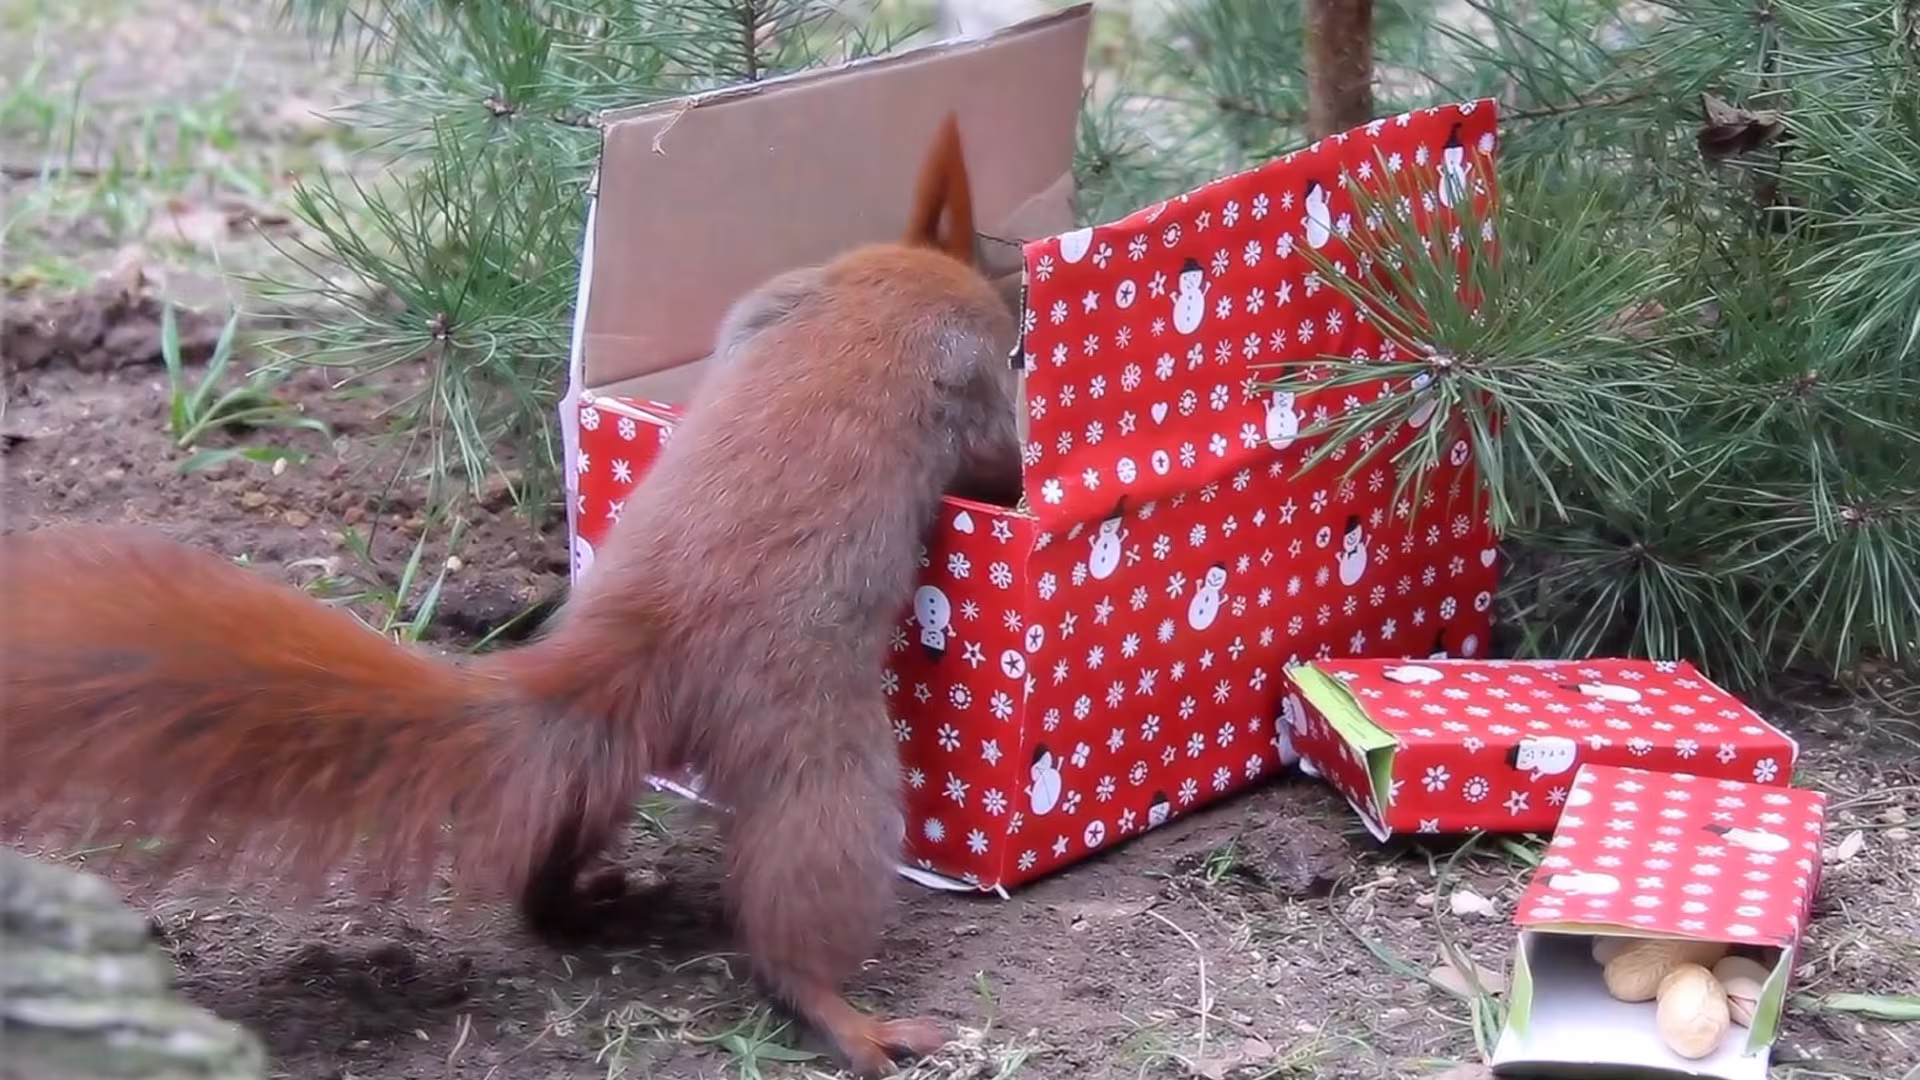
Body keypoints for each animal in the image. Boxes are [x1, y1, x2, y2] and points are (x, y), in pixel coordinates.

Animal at [0, 111, 1020, 1077]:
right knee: (793, 930)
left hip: (601, 767)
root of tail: (623, 647)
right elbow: (995, 449)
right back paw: (853, 1020)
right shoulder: (962, 371)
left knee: (547, 853)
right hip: (822, 763)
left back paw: (583, 904)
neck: (892, 285)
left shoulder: (778, 302)